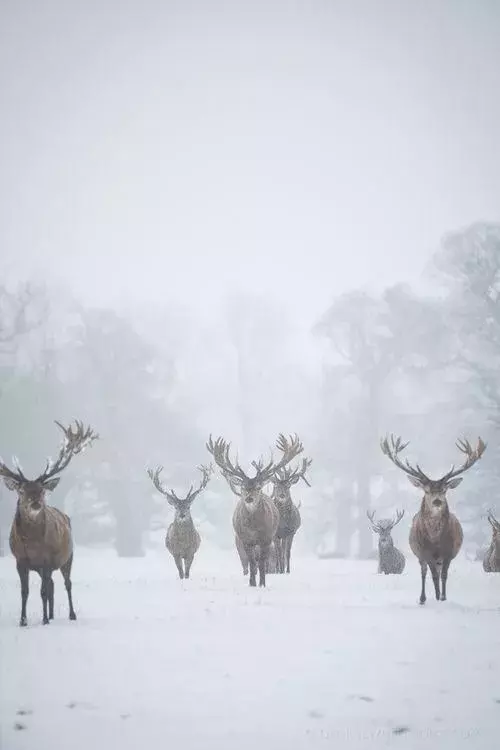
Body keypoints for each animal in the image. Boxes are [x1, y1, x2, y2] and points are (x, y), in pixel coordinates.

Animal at [0, 424, 98, 628]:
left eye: (42, 490)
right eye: (22, 491)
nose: (36, 503)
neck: (32, 544)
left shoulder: (47, 559)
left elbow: (42, 592)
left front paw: (44, 620)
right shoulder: (20, 560)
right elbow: (25, 592)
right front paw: (23, 621)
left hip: (68, 557)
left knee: (66, 584)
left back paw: (70, 615)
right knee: (51, 584)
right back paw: (52, 615)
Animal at [205, 434, 302, 588]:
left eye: (258, 487)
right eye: (243, 487)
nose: (249, 499)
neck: (254, 528)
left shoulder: (267, 538)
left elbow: (262, 562)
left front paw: (262, 583)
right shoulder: (245, 539)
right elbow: (251, 562)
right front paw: (252, 583)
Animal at [382, 434, 484, 604]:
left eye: (444, 490)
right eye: (427, 490)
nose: (437, 501)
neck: (436, 539)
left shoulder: (449, 552)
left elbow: (444, 576)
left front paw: (443, 597)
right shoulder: (425, 552)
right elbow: (434, 576)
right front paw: (436, 597)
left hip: (439, 558)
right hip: (421, 556)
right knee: (424, 573)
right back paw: (422, 598)